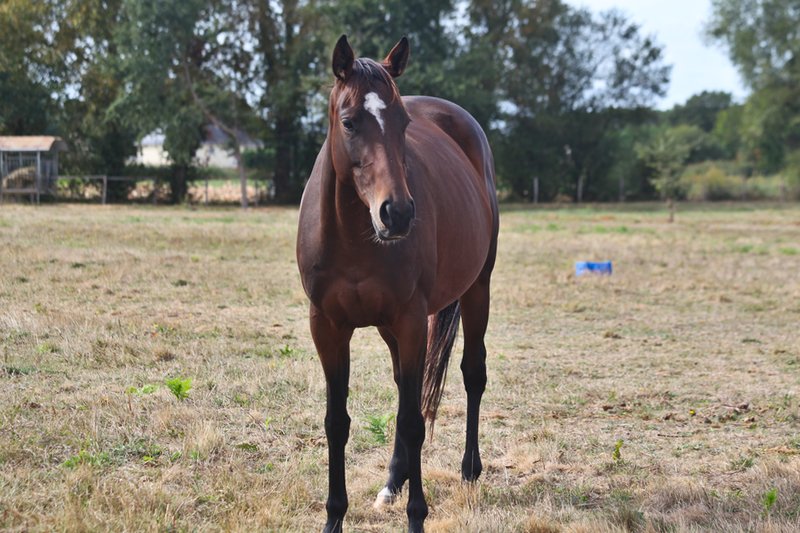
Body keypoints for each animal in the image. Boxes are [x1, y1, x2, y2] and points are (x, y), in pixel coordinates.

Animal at [296, 35, 499, 533]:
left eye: (404, 123)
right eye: (349, 122)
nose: (399, 213)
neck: (355, 237)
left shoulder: (409, 320)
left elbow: (412, 421)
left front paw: (416, 518)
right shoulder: (327, 327)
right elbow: (337, 421)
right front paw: (334, 517)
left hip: (477, 288)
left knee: (471, 373)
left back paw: (469, 470)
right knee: (406, 388)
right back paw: (393, 480)